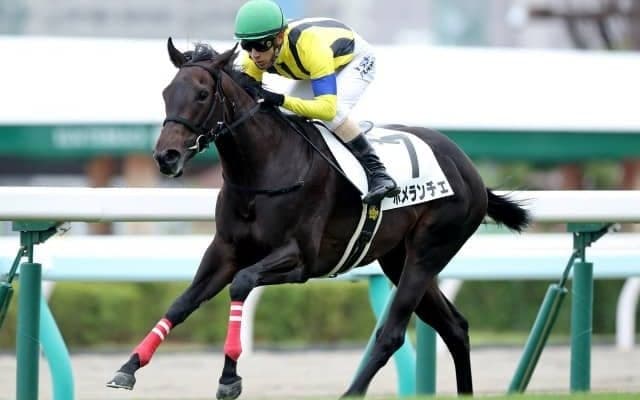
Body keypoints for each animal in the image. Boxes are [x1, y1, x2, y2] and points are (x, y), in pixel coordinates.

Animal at [107, 38, 530, 398]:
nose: (167, 157)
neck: (263, 169)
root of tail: (469, 170)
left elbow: (242, 284)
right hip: (398, 257)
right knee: (455, 327)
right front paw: (129, 366)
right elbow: (181, 303)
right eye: (166, 93)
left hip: (430, 250)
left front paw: (229, 378)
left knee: (392, 334)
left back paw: (352, 392)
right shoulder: (225, 251)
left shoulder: (299, 259)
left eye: (201, 94)